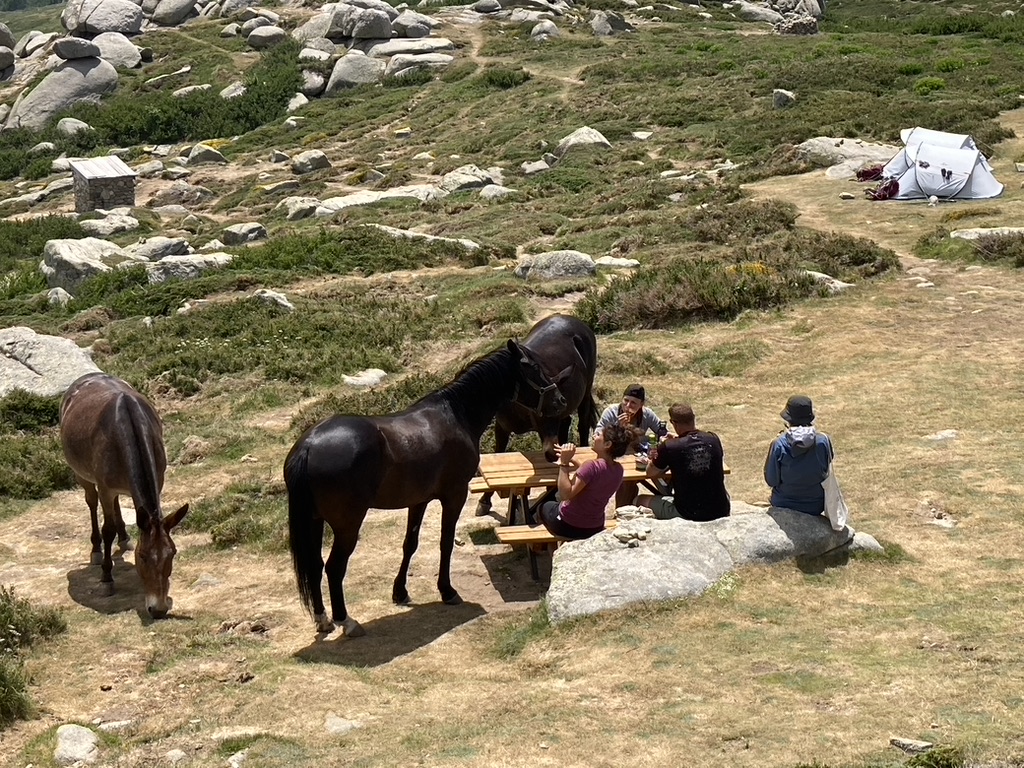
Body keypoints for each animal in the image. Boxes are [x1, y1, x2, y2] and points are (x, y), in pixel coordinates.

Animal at [59, 372, 188, 618]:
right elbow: (107, 529)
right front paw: (107, 578)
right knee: (91, 502)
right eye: (143, 556)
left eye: (173, 553)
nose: (158, 609)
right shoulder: (105, 488)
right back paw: (96, 550)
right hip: (83, 476)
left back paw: (124, 537)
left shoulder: (157, 481)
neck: (127, 428)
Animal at [284, 342, 565, 638]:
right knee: (334, 568)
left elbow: (410, 544)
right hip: (347, 525)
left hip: (314, 521)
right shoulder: (454, 496)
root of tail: (309, 445)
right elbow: (445, 542)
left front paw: (400, 592)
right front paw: (447, 591)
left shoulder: (418, 501)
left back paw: (323, 619)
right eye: (534, 367)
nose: (560, 400)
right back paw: (346, 621)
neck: (455, 414)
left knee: (314, 566)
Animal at [473, 315, 598, 520]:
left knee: (583, 423)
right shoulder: (503, 426)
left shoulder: (547, 430)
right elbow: (498, 452)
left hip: (586, 392)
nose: (560, 400)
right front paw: (484, 500)